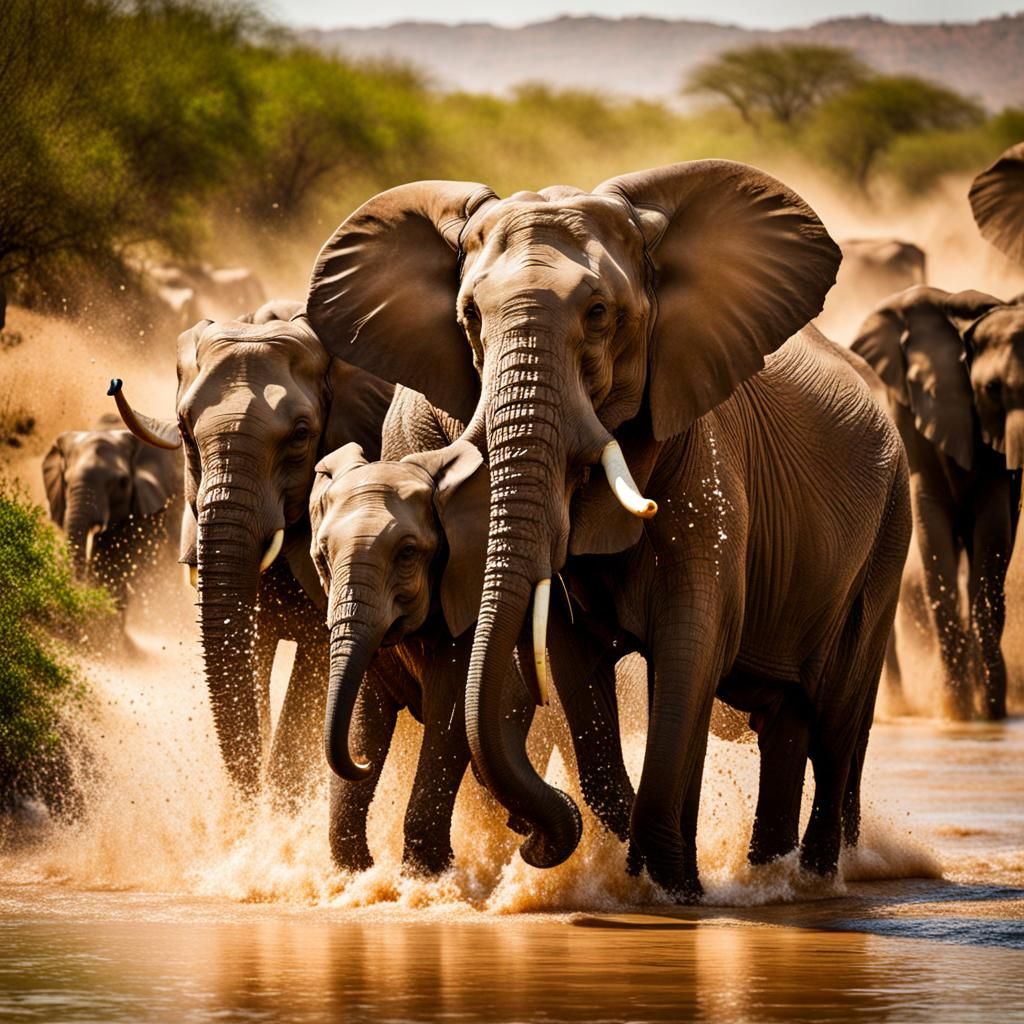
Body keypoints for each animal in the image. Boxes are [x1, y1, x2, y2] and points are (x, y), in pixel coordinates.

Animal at [309, 385, 636, 874]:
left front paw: (425, 877)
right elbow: (363, 713)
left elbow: (447, 714)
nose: (363, 765)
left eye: (408, 553)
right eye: (322, 557)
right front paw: (357, 874)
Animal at [851, 285, 1024, 720]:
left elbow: (992, 538)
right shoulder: (907, 409)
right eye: (992, 389)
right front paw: (955, 712)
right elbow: (933, 529)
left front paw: (982, 711)